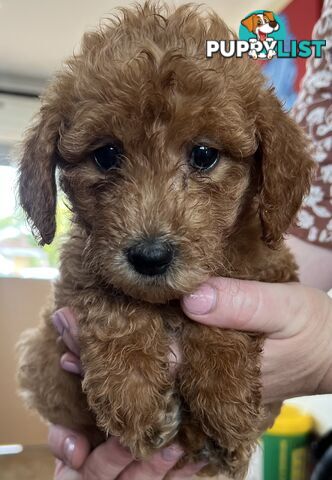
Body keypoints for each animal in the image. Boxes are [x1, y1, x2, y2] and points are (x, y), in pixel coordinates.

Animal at [16, 1, 314, 478]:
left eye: (204, 155)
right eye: (106, 155)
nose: (150, 256)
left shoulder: (270, 267)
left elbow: (225, 305)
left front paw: (225, 397)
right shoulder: (77, 278)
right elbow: (113, 300)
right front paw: (133, 393)